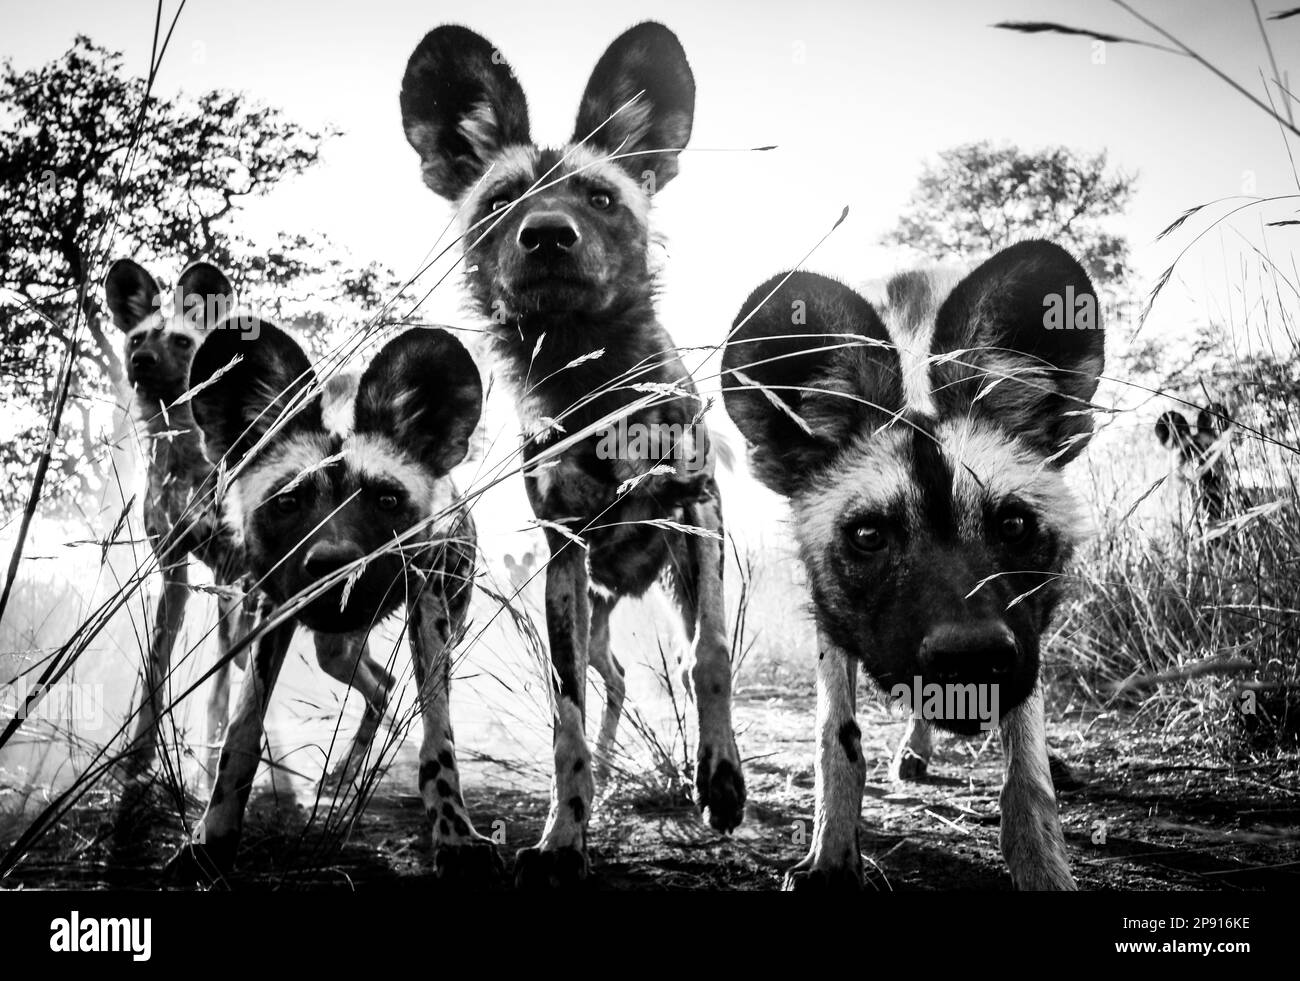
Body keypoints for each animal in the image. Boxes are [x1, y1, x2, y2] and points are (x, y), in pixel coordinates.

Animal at [162, 322, 488, 883]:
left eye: (387, 500)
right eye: (288, 501)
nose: (336, 567)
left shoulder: (430, 611)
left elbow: (437, 739)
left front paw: (455, 838)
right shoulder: (272, 611)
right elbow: (241, 734)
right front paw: (212, 840)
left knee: (388, 688)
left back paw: (352, 777)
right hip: (331, 649)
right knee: (381, 685)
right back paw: (345, 777)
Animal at [395, 23, 748, 888]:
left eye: (601, 199)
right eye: (499, 202)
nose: (548, 235)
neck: (588, 380)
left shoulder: (699, 514)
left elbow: (710, 655)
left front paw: (721, 779)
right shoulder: (566, 557)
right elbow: (566, 722)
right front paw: (564, 836)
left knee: (658, 664)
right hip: (585, 613)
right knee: (606, 683)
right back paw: (609, 778)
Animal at [722, 240, 1107, 888]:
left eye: (1013, 526)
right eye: (868, 535)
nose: (970, 660)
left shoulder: (1023, 630)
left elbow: (1027, 771)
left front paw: (1042, 863)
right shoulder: (832, 618)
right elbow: (836, 743)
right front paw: (831, 857)